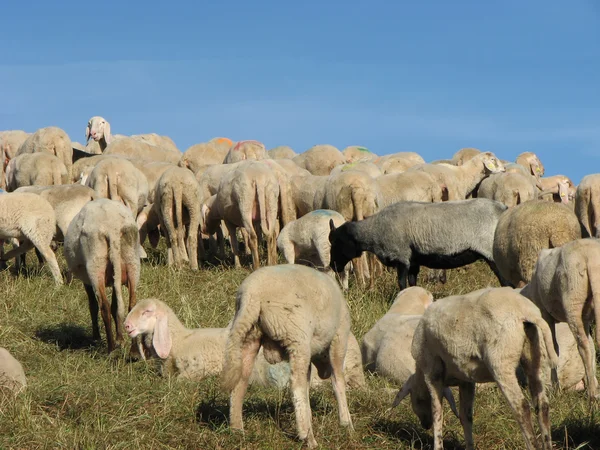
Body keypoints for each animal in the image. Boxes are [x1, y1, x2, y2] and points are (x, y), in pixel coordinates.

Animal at [64, 199, 142, 354]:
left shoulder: (87, 281)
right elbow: (115, 306)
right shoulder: (115, 279)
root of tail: (112, 227)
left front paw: (97, 337)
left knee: (103, 306)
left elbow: (93, 306)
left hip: (95, 265)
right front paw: (120, 340)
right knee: (131, 304)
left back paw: (110, 349)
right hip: (132, 262)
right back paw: (134, 352)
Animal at [223, 266, 354, 448]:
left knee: (240, 381)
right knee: (296, 385)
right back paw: (308, 437)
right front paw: (346, 423)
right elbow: (338, 381)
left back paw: (237, 430)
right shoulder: (339, 338)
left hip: (250, 335)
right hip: (297, 337)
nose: (324, 373)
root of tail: (252, 293)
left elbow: (308, 385)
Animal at [328, 199, 506, 290]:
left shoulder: (401, 257)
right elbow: (413, 283)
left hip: (492, 252)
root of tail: (503, 208)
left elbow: (402, 284)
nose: (333, 266)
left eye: (336, 243)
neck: (375, 230)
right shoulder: (413, 261)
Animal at [394, 286, 556, 450]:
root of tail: (525, 311)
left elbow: (437, 412)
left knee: (522, 407)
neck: (420, 372)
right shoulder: (466, 378)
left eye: (416, 398)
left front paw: (437, 445)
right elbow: (466, 416)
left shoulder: (432, 371)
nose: (425, 425)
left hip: (501, 361)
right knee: (542, 405)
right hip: (536, 354)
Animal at [516, 237, 600, 400]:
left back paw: (592, 394)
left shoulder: (545, 314)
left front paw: (556, 389)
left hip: (572, 300)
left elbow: (554, 348)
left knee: (583, 347)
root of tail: (589, 257)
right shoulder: (586, 317)